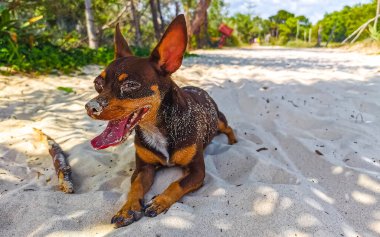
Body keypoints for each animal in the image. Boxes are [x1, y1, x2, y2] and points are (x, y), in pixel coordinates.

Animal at [85, 14, 236, 228]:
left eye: (131, 85)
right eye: (97, 84)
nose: (90, 107)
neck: (156, 129)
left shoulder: (197, 171)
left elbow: (176, 184)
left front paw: (160, 201)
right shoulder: (143, 168)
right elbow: (136, 186)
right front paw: (127, 209)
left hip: (220, 120)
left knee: (229, 128)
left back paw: (233, 141)